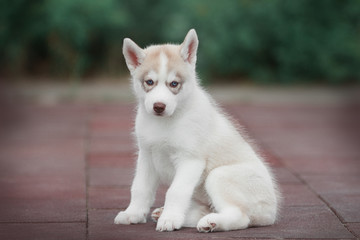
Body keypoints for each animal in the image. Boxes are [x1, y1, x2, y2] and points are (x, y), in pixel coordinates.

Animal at [114, 29, 280, 232]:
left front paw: (169, 219)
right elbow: (140, 188)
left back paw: (210, 222)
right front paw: (133, 214)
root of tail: (271, 213)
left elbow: (175, 191)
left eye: (174, 84)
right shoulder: (146, 156)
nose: (159, 106)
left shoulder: (190, 160)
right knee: (202, 210)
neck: (165, 123)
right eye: (150, 82)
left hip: (218, 176)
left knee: (241, 217)